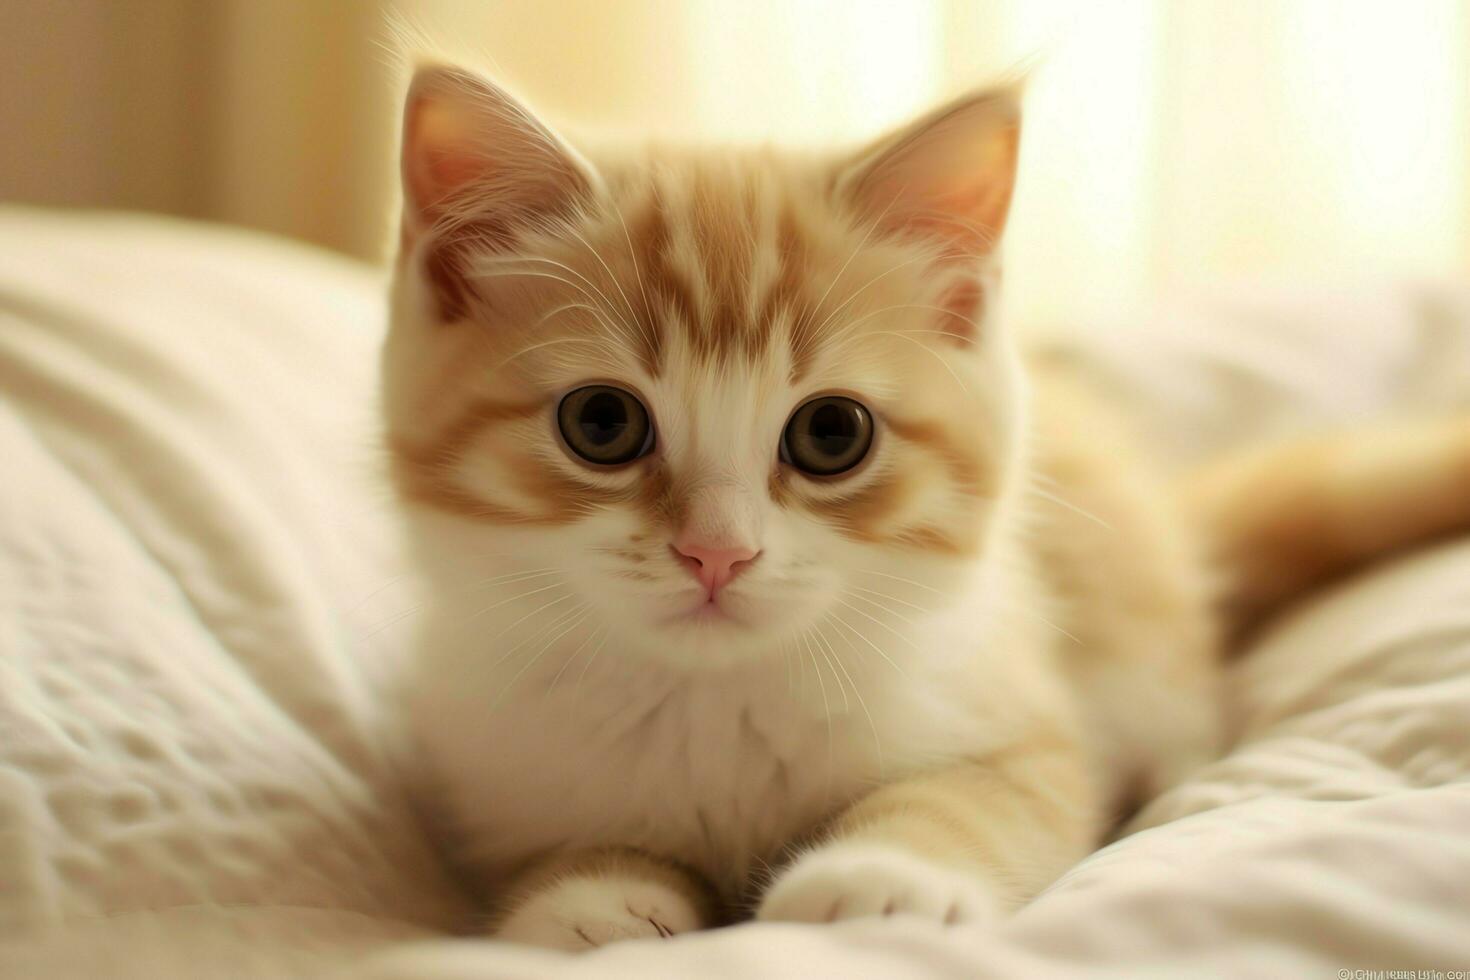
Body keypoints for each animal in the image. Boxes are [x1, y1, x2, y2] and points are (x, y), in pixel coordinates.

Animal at [382, 63, 1470, 952]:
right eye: (601, 422)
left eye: (832, 434)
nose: (716, 552)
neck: (715, 701)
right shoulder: (501, 771)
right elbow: (560, 852)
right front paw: (589, 898)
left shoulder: (1026, 715)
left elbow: (980, 798)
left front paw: (877, 876)